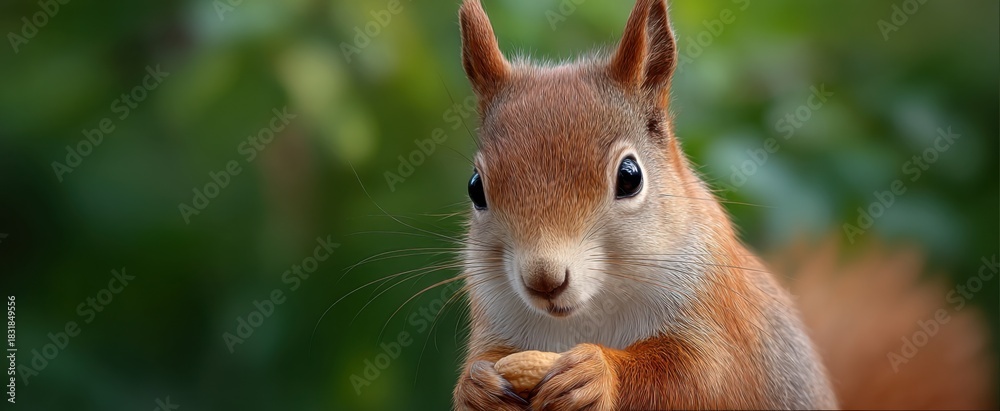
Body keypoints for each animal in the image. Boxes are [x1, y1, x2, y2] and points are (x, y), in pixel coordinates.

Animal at [450, 0, 996, 409]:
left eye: (630, 177)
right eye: (475, 187)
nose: (544, 280)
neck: (587, 317)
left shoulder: (719, 322)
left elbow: (699, 380)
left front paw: (597, 373)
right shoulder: (498, 328)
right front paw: (475, 386)